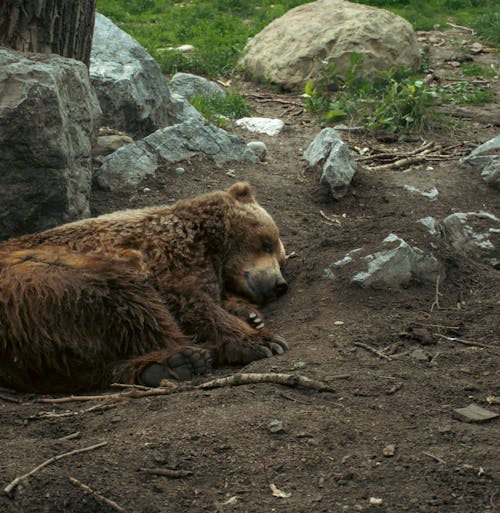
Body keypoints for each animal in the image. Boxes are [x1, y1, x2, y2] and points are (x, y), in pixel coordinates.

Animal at [0, 184, 290, 392]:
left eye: (281, 259)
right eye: (266, 243)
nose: (279, 285)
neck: (211, 245)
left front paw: (249, 315)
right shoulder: (168, 257)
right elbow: (191, 303)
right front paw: (262, 340)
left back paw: (164, 367)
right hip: (51, 276)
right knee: (130, 301)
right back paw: (189, 356)